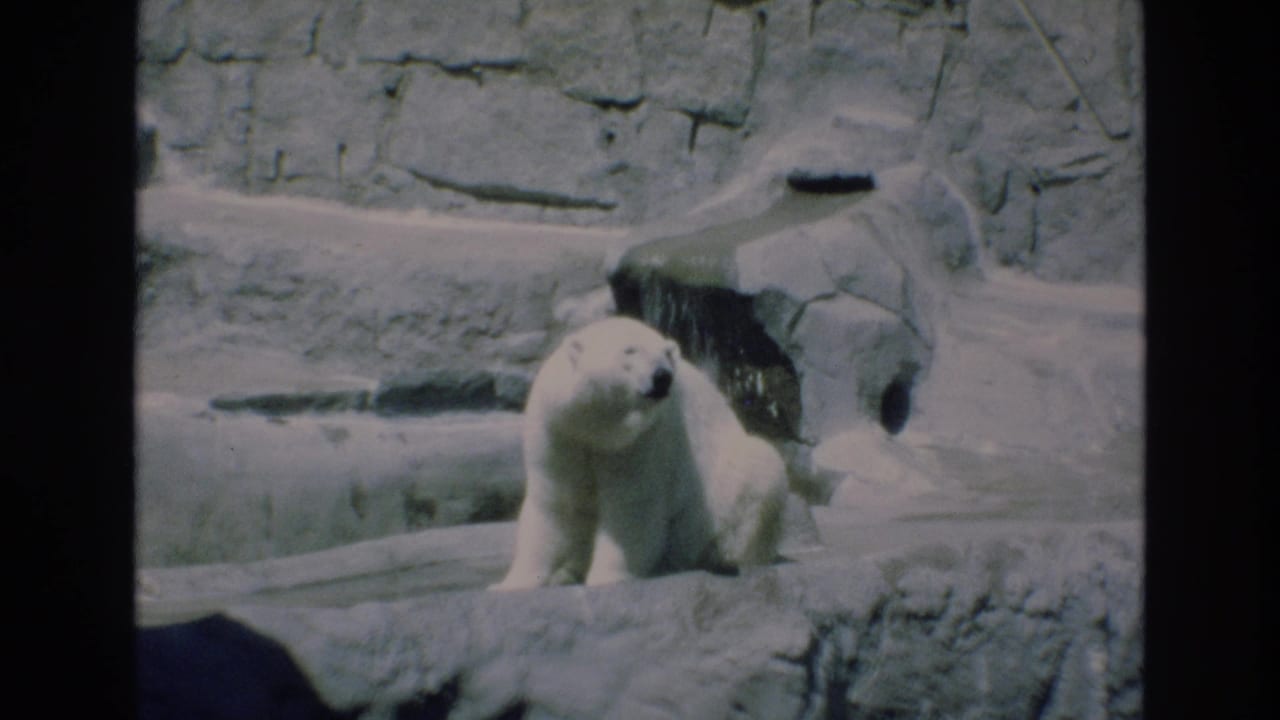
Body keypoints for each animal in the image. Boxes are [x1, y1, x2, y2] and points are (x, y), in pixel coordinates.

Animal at [491, 316, 788, 589]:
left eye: (666, 354)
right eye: (629, 350)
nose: (662, 376)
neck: (597, 427)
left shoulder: (642, 439)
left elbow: (631, 503)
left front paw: (607, 577)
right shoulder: (559, 431)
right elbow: (554, 503)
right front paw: (512, 583)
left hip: (721, 496)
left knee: (758, 471)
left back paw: (715, 559)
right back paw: (568, 572)